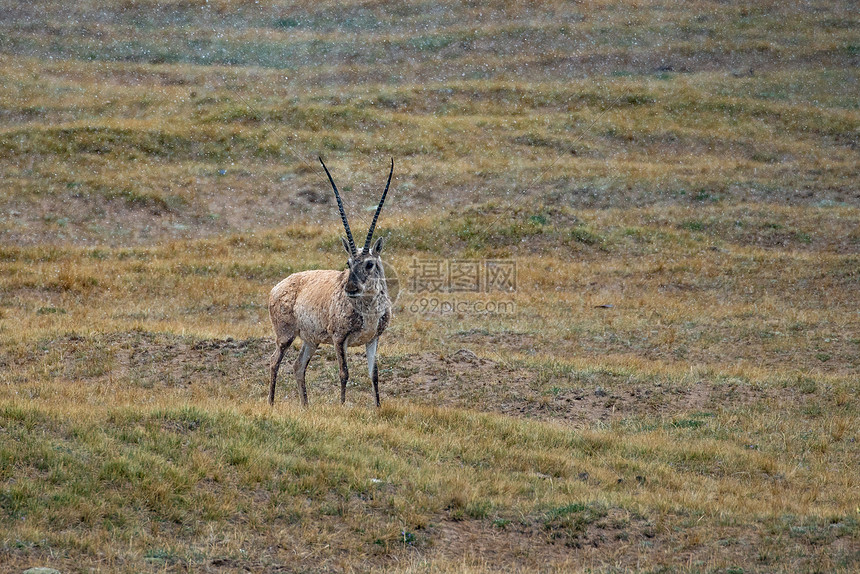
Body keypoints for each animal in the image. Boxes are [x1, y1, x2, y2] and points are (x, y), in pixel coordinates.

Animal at [268, 158, 394, 410]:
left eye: (369, 264)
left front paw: (377, 407)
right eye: (348, 262)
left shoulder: (373, 338)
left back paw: (305, 406)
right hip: (286, 336)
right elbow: (344, 372)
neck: (368, 309)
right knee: (274, 362)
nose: (351, 288)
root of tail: (277, 288)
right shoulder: (339, 339)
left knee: (298, 366)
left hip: (311, 340)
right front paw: (343, 405)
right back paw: (271, 403)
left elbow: (374, 374)